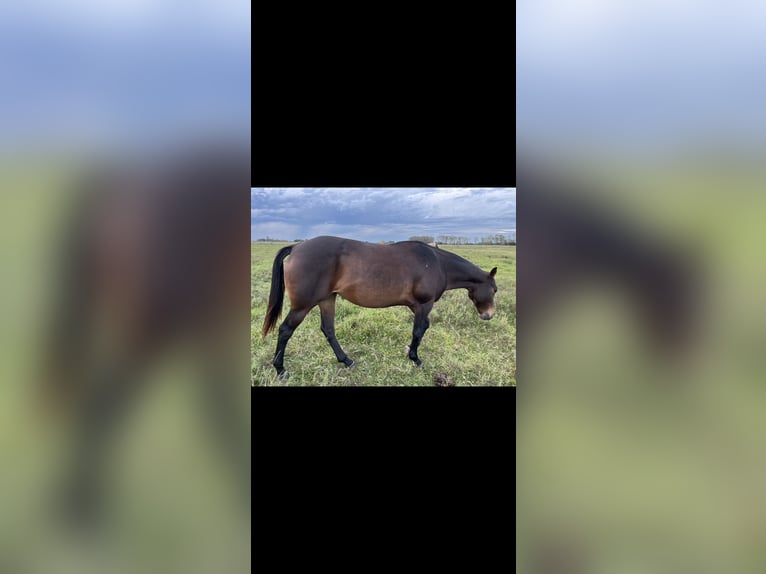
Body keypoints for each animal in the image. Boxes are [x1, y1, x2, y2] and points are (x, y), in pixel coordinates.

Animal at [260, 237, 500, 382]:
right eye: (495, 289)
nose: (488, 315)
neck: (437, 263)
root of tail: (296, 247)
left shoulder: (416, 306)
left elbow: (423, 327)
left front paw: (410, 352)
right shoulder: (424, 304)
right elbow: (418, 331)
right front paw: (415, 359)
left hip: (327, 299)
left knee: (328, 330)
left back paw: (346, 360)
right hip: (303, 305)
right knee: (285, 330)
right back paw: (280, 370)